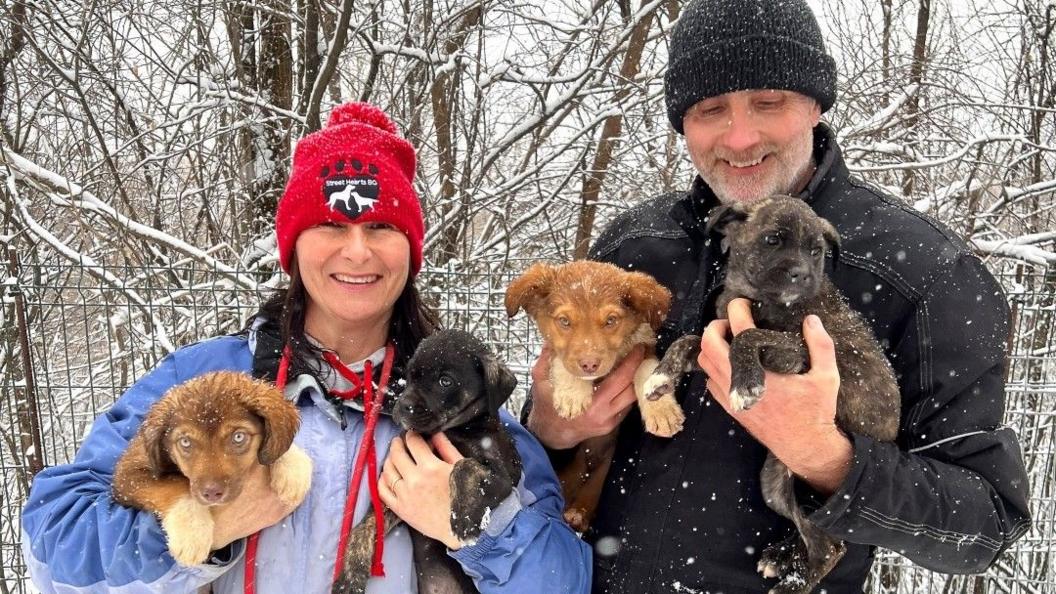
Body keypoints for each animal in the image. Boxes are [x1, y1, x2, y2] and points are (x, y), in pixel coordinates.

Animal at [116, 369, 314, 562]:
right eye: (185, 442)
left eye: (238, 437)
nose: (212, 493)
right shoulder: (127, 473)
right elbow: (172, 485)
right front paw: (191, 533)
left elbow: (277, 446)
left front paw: (294, 469)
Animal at [331, 327, 521, 591]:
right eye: (410, 376)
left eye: (445, 381)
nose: (403, 406)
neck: (452, 429)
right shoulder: (391, 493)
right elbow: (365, 526)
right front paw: (349, 576)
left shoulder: (502, 478)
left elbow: (463, 466)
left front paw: (465, 517)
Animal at [504, 261, 684, 528]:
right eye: (564, 321)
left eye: (611, 320)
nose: (589, 364)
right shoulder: (551, 354)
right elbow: (561, 361)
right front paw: (573, 395)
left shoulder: (644, 347)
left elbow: (647, 368)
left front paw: (662, 410)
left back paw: (578, 513)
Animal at [642, 195, 899, 591]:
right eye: (773, 240)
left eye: (816, 251)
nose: (802, 275)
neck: (752, 294)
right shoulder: (715, 342)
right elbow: (689, 340)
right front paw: (660, 378)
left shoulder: (798, 351)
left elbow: (749, 335)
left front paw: (746, 384)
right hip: (774, 485)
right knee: (810, 526)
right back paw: (781, 557)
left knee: (830, 547)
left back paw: (792, 584)